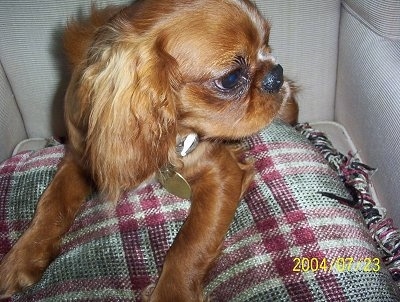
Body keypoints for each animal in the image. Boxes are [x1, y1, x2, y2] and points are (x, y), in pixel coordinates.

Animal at [0, 0, 296, 300]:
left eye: (268, 44)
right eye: (232, 78)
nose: (277, 74)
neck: (172, 132)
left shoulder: (223, 173)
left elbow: (191, 243)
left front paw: (172, 293)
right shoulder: (82, 156)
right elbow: (52, 202)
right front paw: (20, 258)